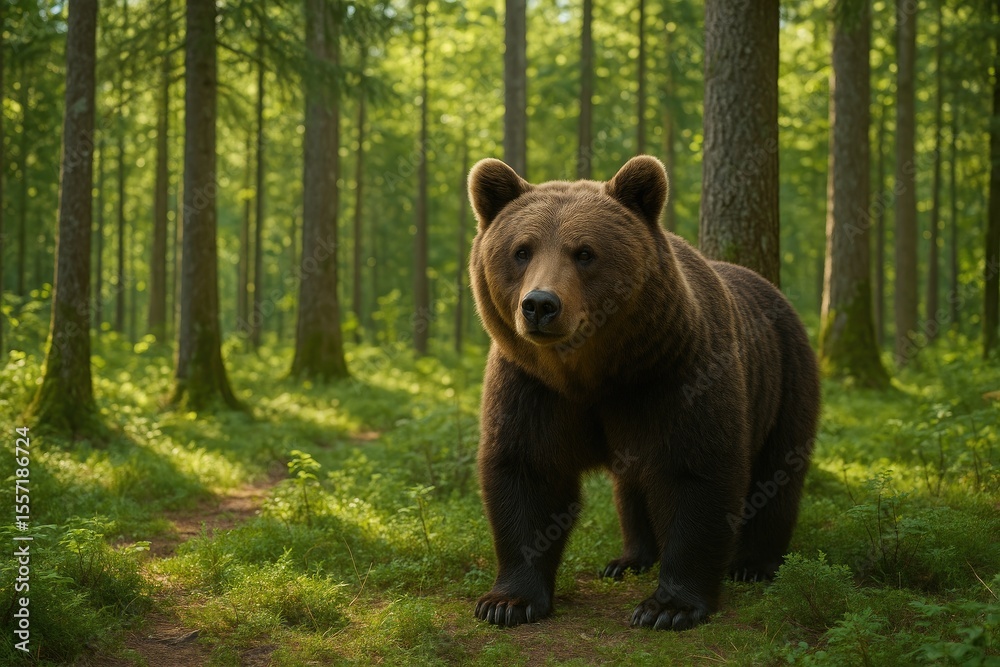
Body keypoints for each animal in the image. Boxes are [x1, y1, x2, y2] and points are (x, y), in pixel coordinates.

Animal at [466, 155, 821, 631]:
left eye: (584, 252)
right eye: (521, 250)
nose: (540, 304)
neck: (596, 374)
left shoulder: (675, 375)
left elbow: (696, 472)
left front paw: (668, 607)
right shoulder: (531, 385)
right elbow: (527, 469)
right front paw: (507, 602)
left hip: (785, 380)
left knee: (777, 473)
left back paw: (753, 564)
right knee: (633, 486)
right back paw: (629, 558)